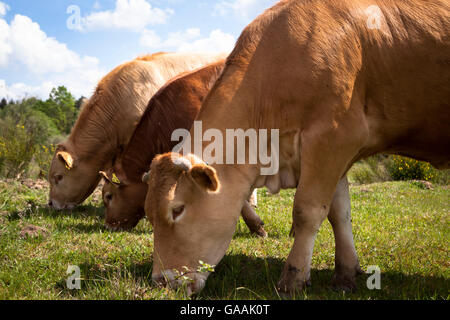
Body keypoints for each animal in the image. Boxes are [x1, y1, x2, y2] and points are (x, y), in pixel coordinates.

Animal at [142, 0, 448, 296]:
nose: (160, 281)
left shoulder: (333, 138)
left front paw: (294, 277)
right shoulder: (333, 154)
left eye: (177, 209)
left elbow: (308, 211)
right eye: (150, 215)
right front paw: (346, 273)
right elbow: (340, 213)